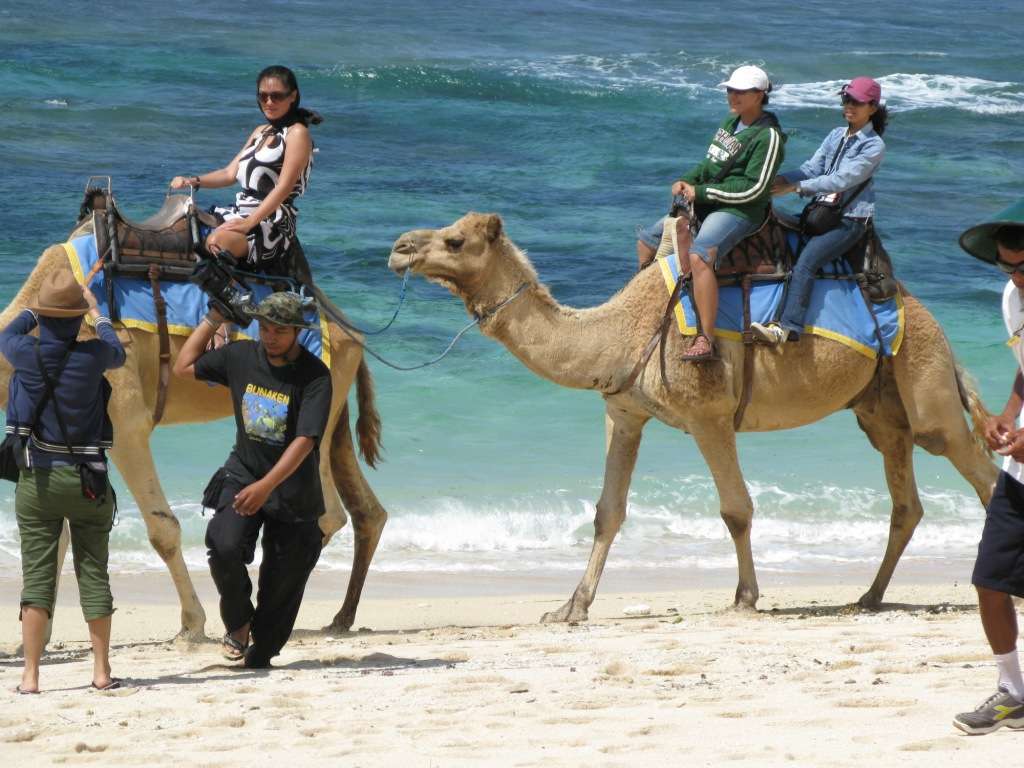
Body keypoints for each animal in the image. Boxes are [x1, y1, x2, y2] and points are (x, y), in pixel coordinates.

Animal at [0, 216, 388, 639]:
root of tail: (351, 332)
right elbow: (59, 526)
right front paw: (35, 638)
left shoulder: (125, 418)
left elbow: (162, 528)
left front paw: (192, 626)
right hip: (335, 409)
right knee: (366, 511)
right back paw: (341, 618)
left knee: (326, 514)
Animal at [388, 212, 999, 623]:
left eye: (455, 239)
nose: (399, 247)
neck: (619, 332)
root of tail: (932, 320)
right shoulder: (624, 412)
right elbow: (607, 512)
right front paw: (570, 607)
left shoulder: (709, 415)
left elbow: (736, 509)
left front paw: (746, 598)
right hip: (880, 411)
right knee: (906, 502)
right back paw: (868, 597)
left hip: (926, 384)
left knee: (978, 470)